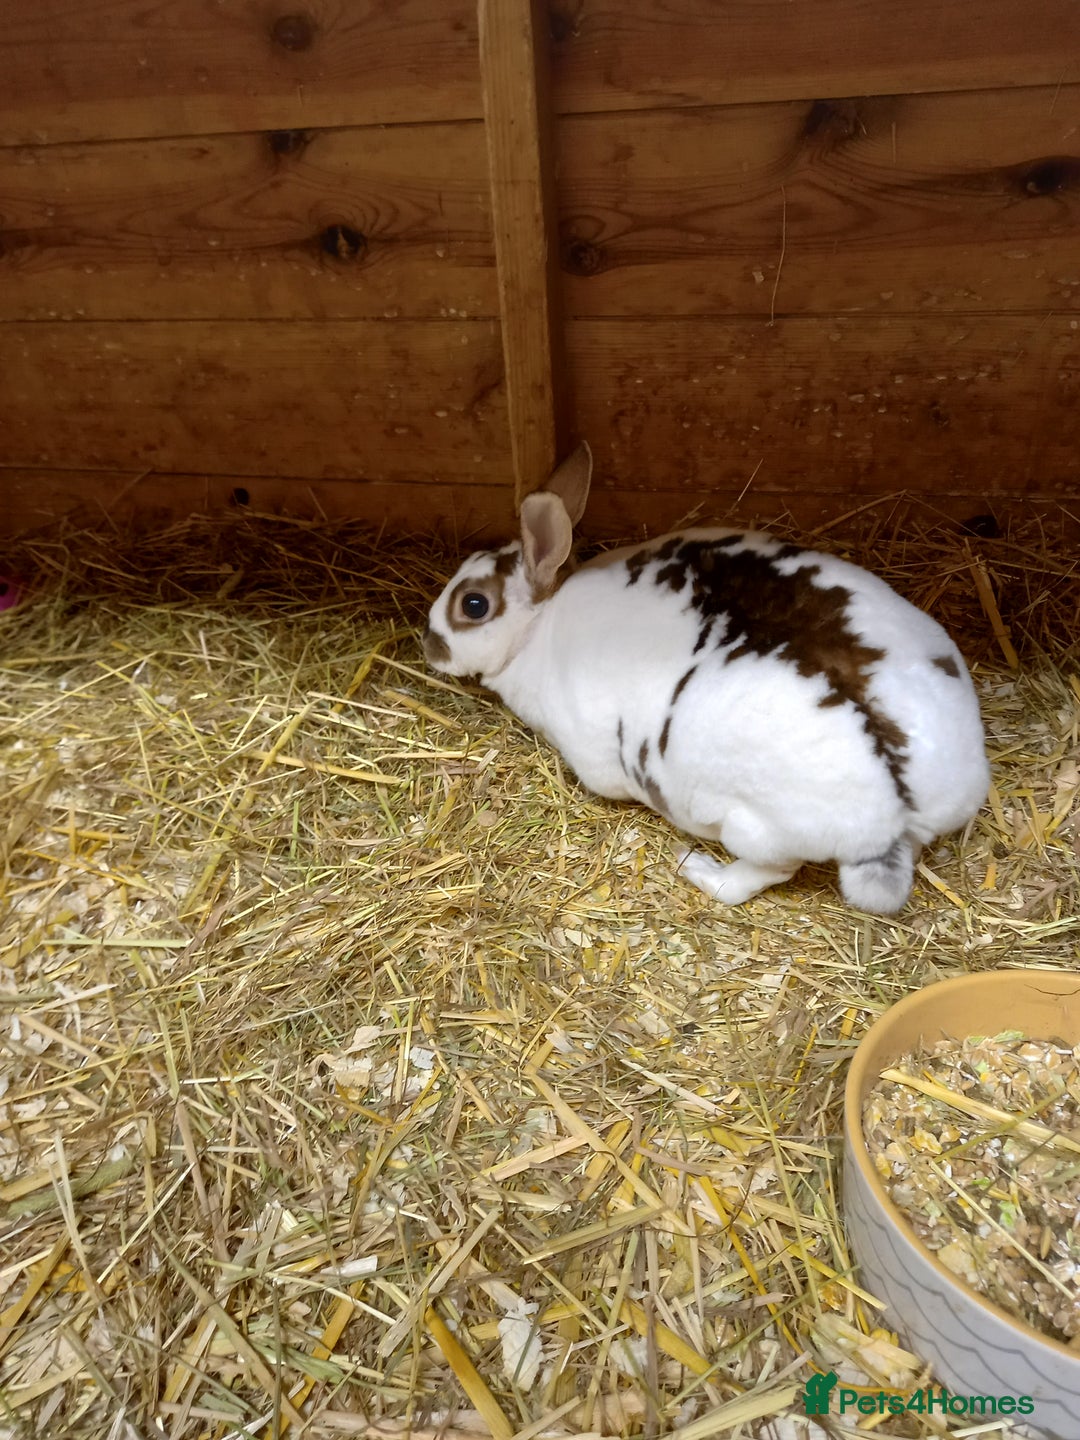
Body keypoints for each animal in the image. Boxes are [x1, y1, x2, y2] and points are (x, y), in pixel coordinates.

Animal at [423, 443, 990, 914]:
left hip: (753, 829)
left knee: (764, 874)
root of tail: (903, 804)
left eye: (473, 605)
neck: (540, 624)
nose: (428, 645)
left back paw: (695, 867)